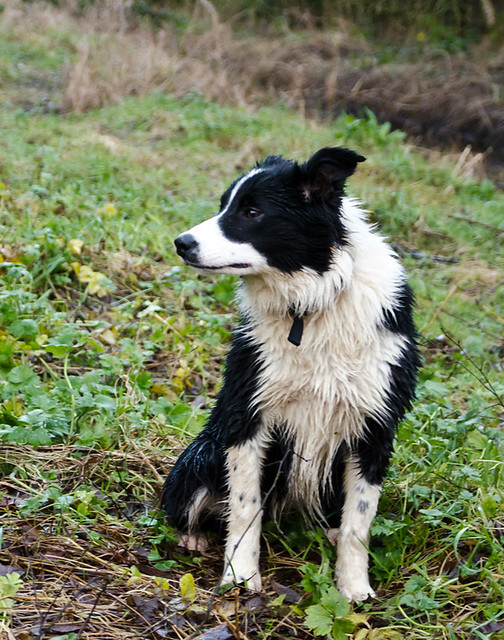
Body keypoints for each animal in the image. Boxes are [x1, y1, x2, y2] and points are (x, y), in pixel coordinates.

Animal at [162, 147, 419, 602]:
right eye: (224, 205)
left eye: (251, 212)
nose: (181, 243)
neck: (313, 301)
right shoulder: (247, 412)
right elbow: (244, 506)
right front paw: (241, 577)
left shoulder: (375, 426)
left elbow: (359, 523)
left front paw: (354, 589)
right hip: (201, 454)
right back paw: (193, 537)